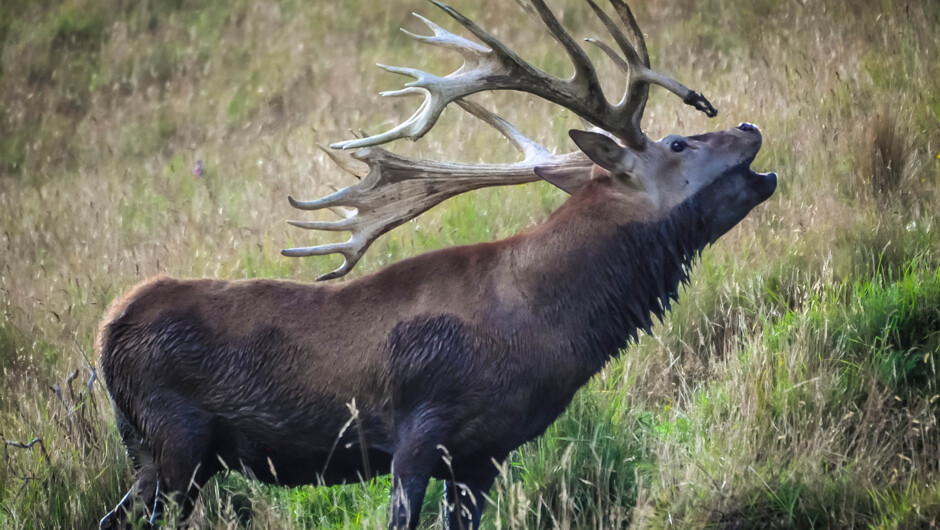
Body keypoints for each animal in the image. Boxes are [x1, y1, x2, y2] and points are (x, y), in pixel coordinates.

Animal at [97, 0, 776, 528]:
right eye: (679, 143)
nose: (749, 124)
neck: (546, 327)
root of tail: (107, 333)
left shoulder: (485, 452)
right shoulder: (419, 427)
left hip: (156, 451)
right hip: (173, 440)